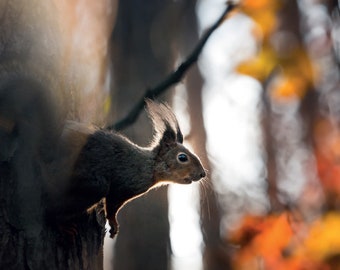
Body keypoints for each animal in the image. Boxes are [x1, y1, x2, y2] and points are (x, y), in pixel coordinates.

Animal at [49, 99, 206, 238]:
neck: (149, 166)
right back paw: (61, 224)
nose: (203, 174)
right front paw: (113, 223)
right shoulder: (122, 186)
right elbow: (112, 207)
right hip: (90, 184)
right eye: (182, 157)